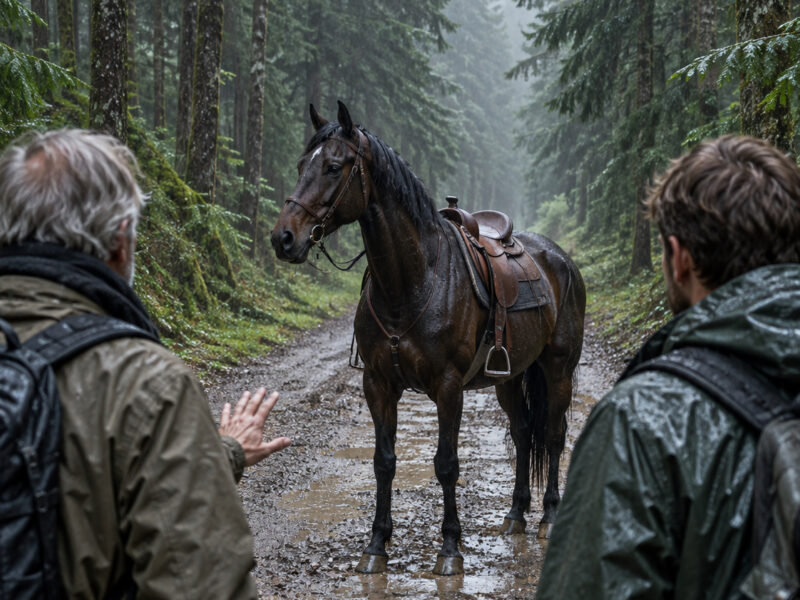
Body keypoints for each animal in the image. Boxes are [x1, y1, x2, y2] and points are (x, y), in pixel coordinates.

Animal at [271, 101, 586, 576]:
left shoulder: (448, 387)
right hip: (512, 378)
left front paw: (450, 547)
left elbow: (446, 464)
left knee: (551, 434)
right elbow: (384, 462)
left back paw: (549, 515)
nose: (283, 238)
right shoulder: (378, 384)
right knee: (522, 433)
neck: (413, 281)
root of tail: (561, 259)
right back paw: (516, 513)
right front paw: (376, 545)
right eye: (298, 165)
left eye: (333, 166)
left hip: (557, 369)